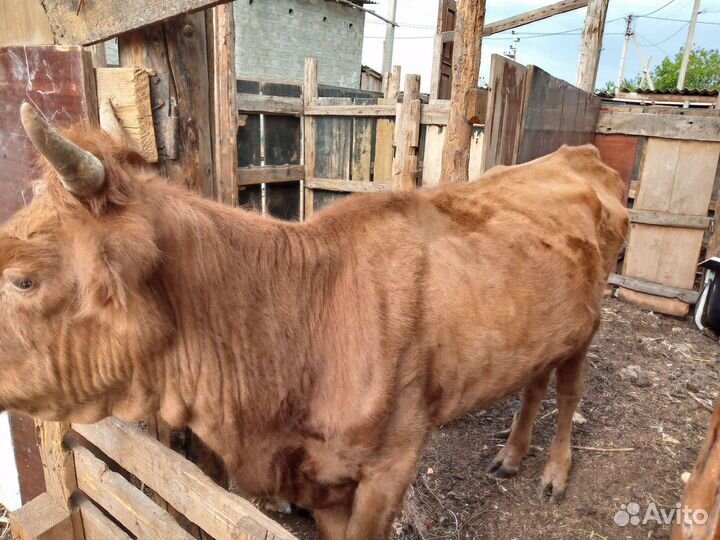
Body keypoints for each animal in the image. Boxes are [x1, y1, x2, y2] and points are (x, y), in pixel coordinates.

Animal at [0, 102, 628, 540]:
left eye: (22, 279)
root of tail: (578, 154)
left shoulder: (391, 467)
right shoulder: (321, 477)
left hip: (588, 326)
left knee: (568, 393)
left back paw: (553, 472)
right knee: (535, 381)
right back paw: (512, 455)